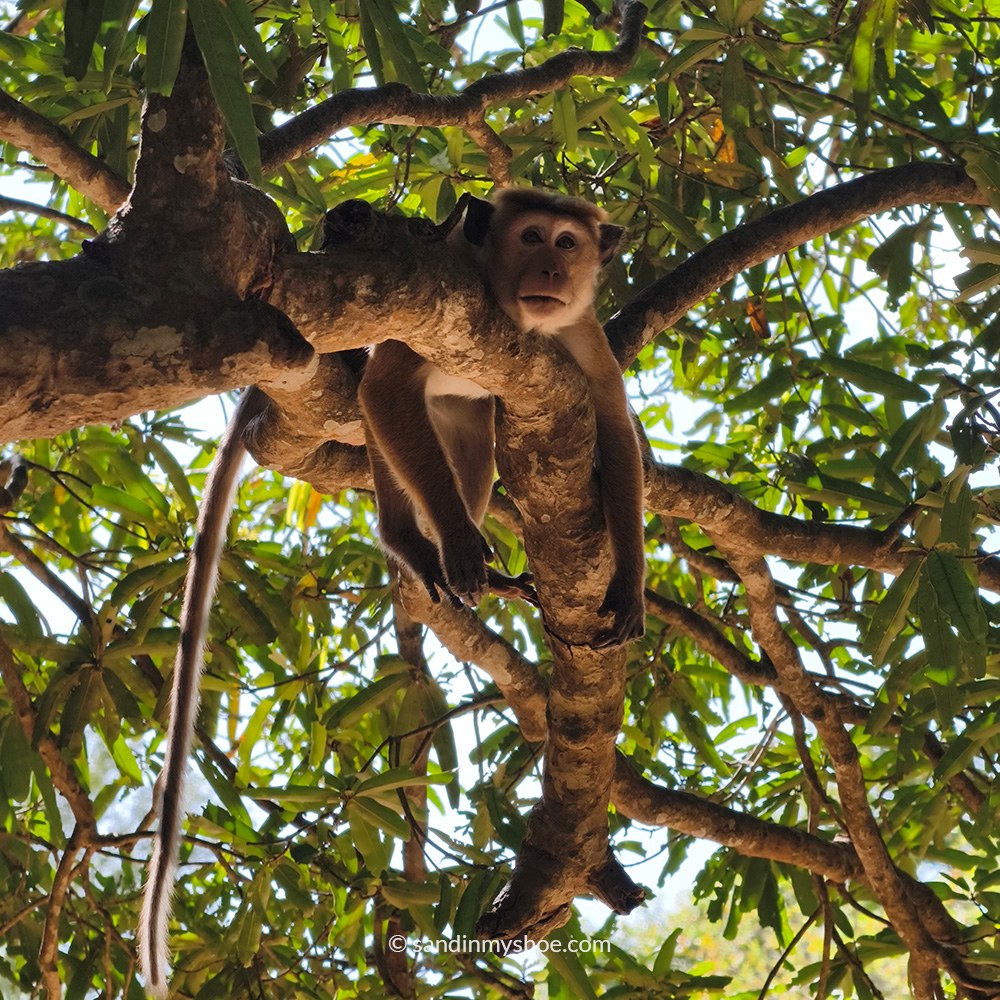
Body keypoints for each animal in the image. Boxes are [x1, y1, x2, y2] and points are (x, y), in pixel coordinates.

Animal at [360, 188, 646, 648]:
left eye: (567, 243)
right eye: (531, 237)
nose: (551, 270)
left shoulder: (584, 333)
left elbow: (615, 427)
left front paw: (629, 585)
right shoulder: (439, 293)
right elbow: (384, 388)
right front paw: (458, 541)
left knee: (475, 448)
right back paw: (405, 538)